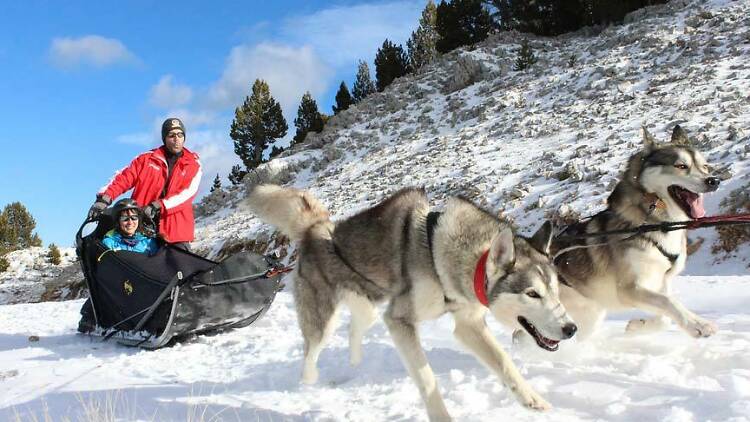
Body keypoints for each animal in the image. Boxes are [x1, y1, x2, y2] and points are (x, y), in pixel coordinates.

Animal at [250, 186, 580, 420]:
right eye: (532, 293)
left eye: (555, 290)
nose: (571, 329)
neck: (441, 254)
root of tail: (317, 229)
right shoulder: (400, 320)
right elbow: (426, 379)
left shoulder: (468, 324)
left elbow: (504, 362)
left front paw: (531, 399)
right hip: (324, 321)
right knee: (311, 352)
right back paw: (309, 382)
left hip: (368, 306)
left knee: (354, 328)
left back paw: (355, 360)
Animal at [552, 125, 724, 340]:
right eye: (681, 166)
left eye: (705, 166)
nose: (714, 180)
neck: (653, 225)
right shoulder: (629, 289)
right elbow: (669, 302)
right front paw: (698, 324)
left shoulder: (660, 282)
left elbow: (665, 317)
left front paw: (637, 327)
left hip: (588, 318)